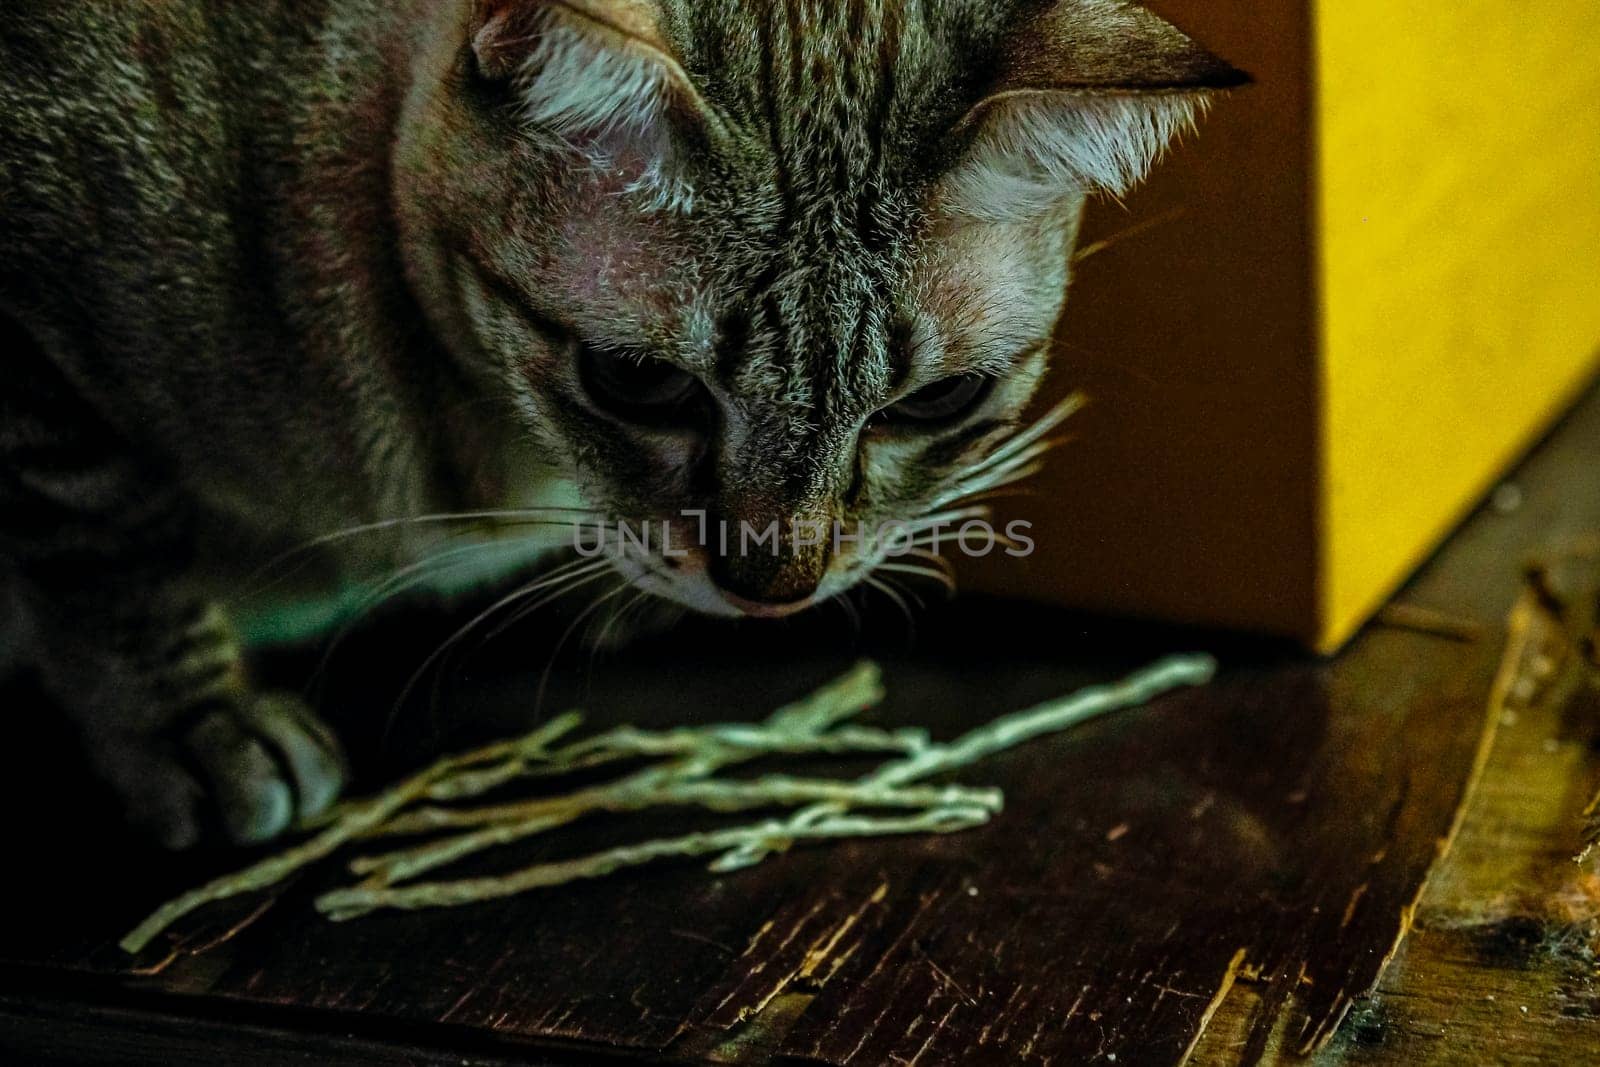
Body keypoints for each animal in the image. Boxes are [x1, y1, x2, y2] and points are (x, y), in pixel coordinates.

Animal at [0, 0, 1235, 851]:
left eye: (934, 403)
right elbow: (113, 550)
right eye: (637, 383)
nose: (773, 589)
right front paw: (196, 729)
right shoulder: (39, 375)